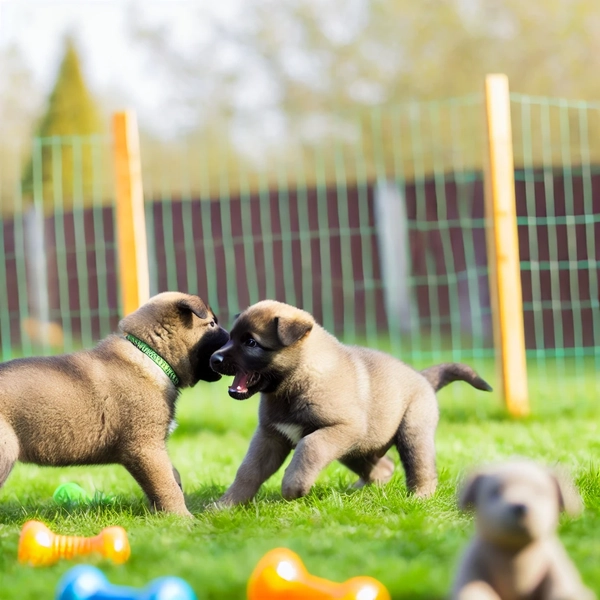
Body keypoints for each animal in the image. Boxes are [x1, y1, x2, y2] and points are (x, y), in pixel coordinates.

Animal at [0, 290, 229, 516]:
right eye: (212, 324)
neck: (151, 356)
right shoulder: (145, 447)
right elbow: (167, 485)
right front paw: (183, 518)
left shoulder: (155, 446)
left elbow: (173, 476)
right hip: (6, 452)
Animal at [211, 300, 492, 506]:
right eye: (230, 337)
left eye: (250, 342)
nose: (214, 358)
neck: (298, 379)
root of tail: (422, 377)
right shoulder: (270, 436)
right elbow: (248, 470)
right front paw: (226, 505)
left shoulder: (338, 429)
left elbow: (309, 447)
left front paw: (293, 486)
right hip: (356, 449)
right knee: (383, 467)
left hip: (411, 433)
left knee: (421, 468)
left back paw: (420, 497)